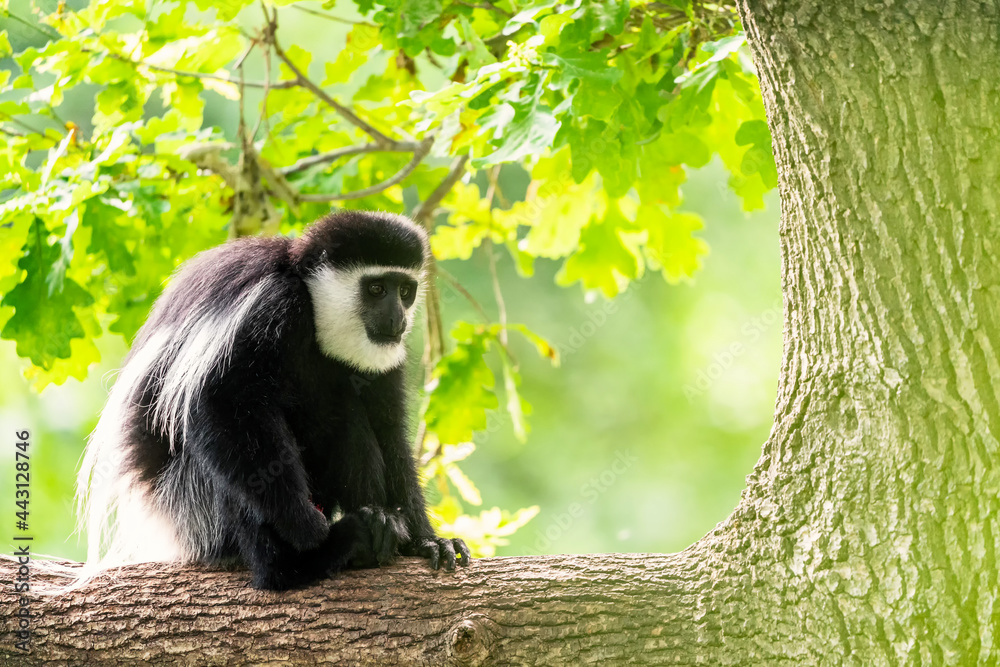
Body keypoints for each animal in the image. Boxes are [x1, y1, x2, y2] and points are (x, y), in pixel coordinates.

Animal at [77, 210, 471, 590]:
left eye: (405, 290)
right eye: (376, 288)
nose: (397, 318)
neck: (311, 299)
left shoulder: (384, 357)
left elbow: (388, 430)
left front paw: (427, 541)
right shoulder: (271, 304)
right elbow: (220, 401)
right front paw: (305, 526)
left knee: (350, 421)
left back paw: (378, 530)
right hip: (191, 506)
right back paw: (298, 562)